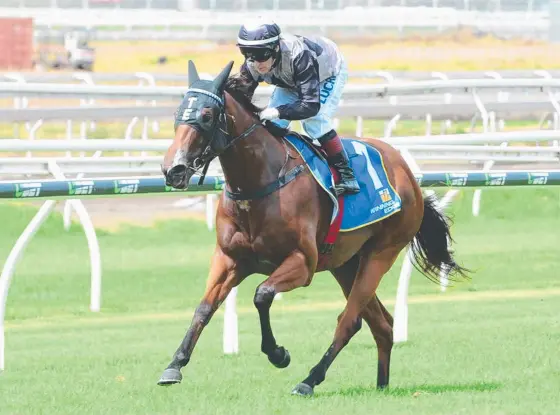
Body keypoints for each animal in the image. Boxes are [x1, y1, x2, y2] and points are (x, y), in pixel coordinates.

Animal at [158, 59, 468, 396]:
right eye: (177, 113)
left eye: (206, 115)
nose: (173, 169)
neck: (261, 183)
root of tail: (406, 171)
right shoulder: (229, 259)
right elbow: (204, 307)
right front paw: (174, 365)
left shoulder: (302, 263)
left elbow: (262, 294)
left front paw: (278, 354)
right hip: (345, 264)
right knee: (381, 324)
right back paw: (381, 385)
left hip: (380, 254)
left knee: (349, 321)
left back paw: (309, 380)